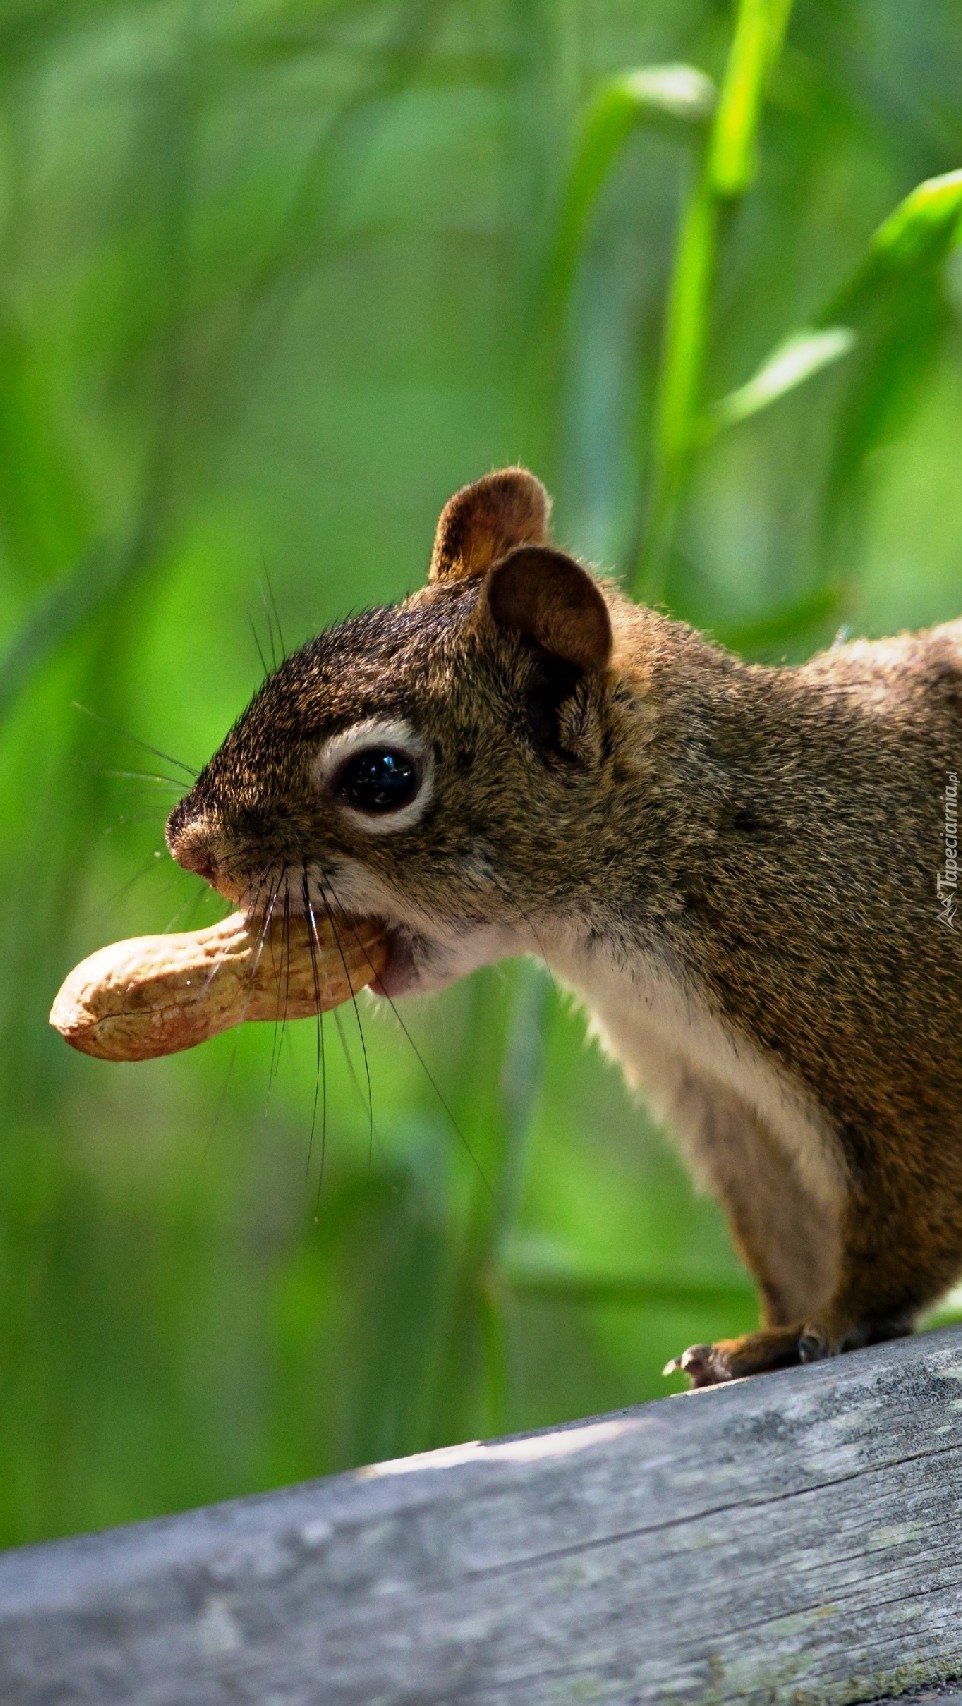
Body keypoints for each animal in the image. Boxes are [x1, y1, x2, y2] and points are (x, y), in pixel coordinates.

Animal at [167, 464, 962, 1385]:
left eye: (381, 777)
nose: (187, 846)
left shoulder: (893, 1058)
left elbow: (906, 1230)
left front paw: (834, 1321)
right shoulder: (728, 1107)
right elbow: (785, 1240)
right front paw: (761, 1339)